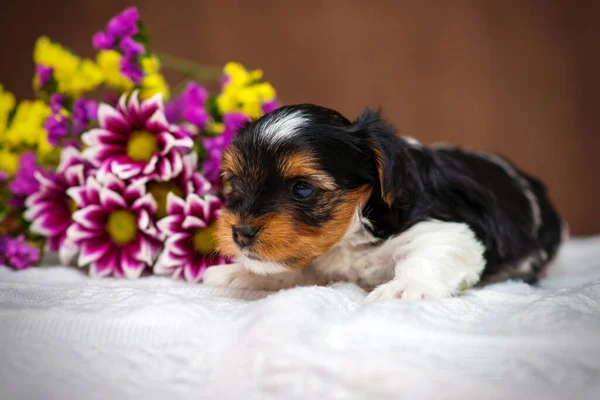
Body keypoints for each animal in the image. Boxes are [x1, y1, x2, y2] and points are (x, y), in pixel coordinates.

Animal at [204, 104, 564, 298]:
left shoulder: (446, 229)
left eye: (302, 189)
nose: (240, 233)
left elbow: (429, 254)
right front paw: (241, 275)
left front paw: (405, 288)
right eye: (234, 182)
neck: (352, 230)